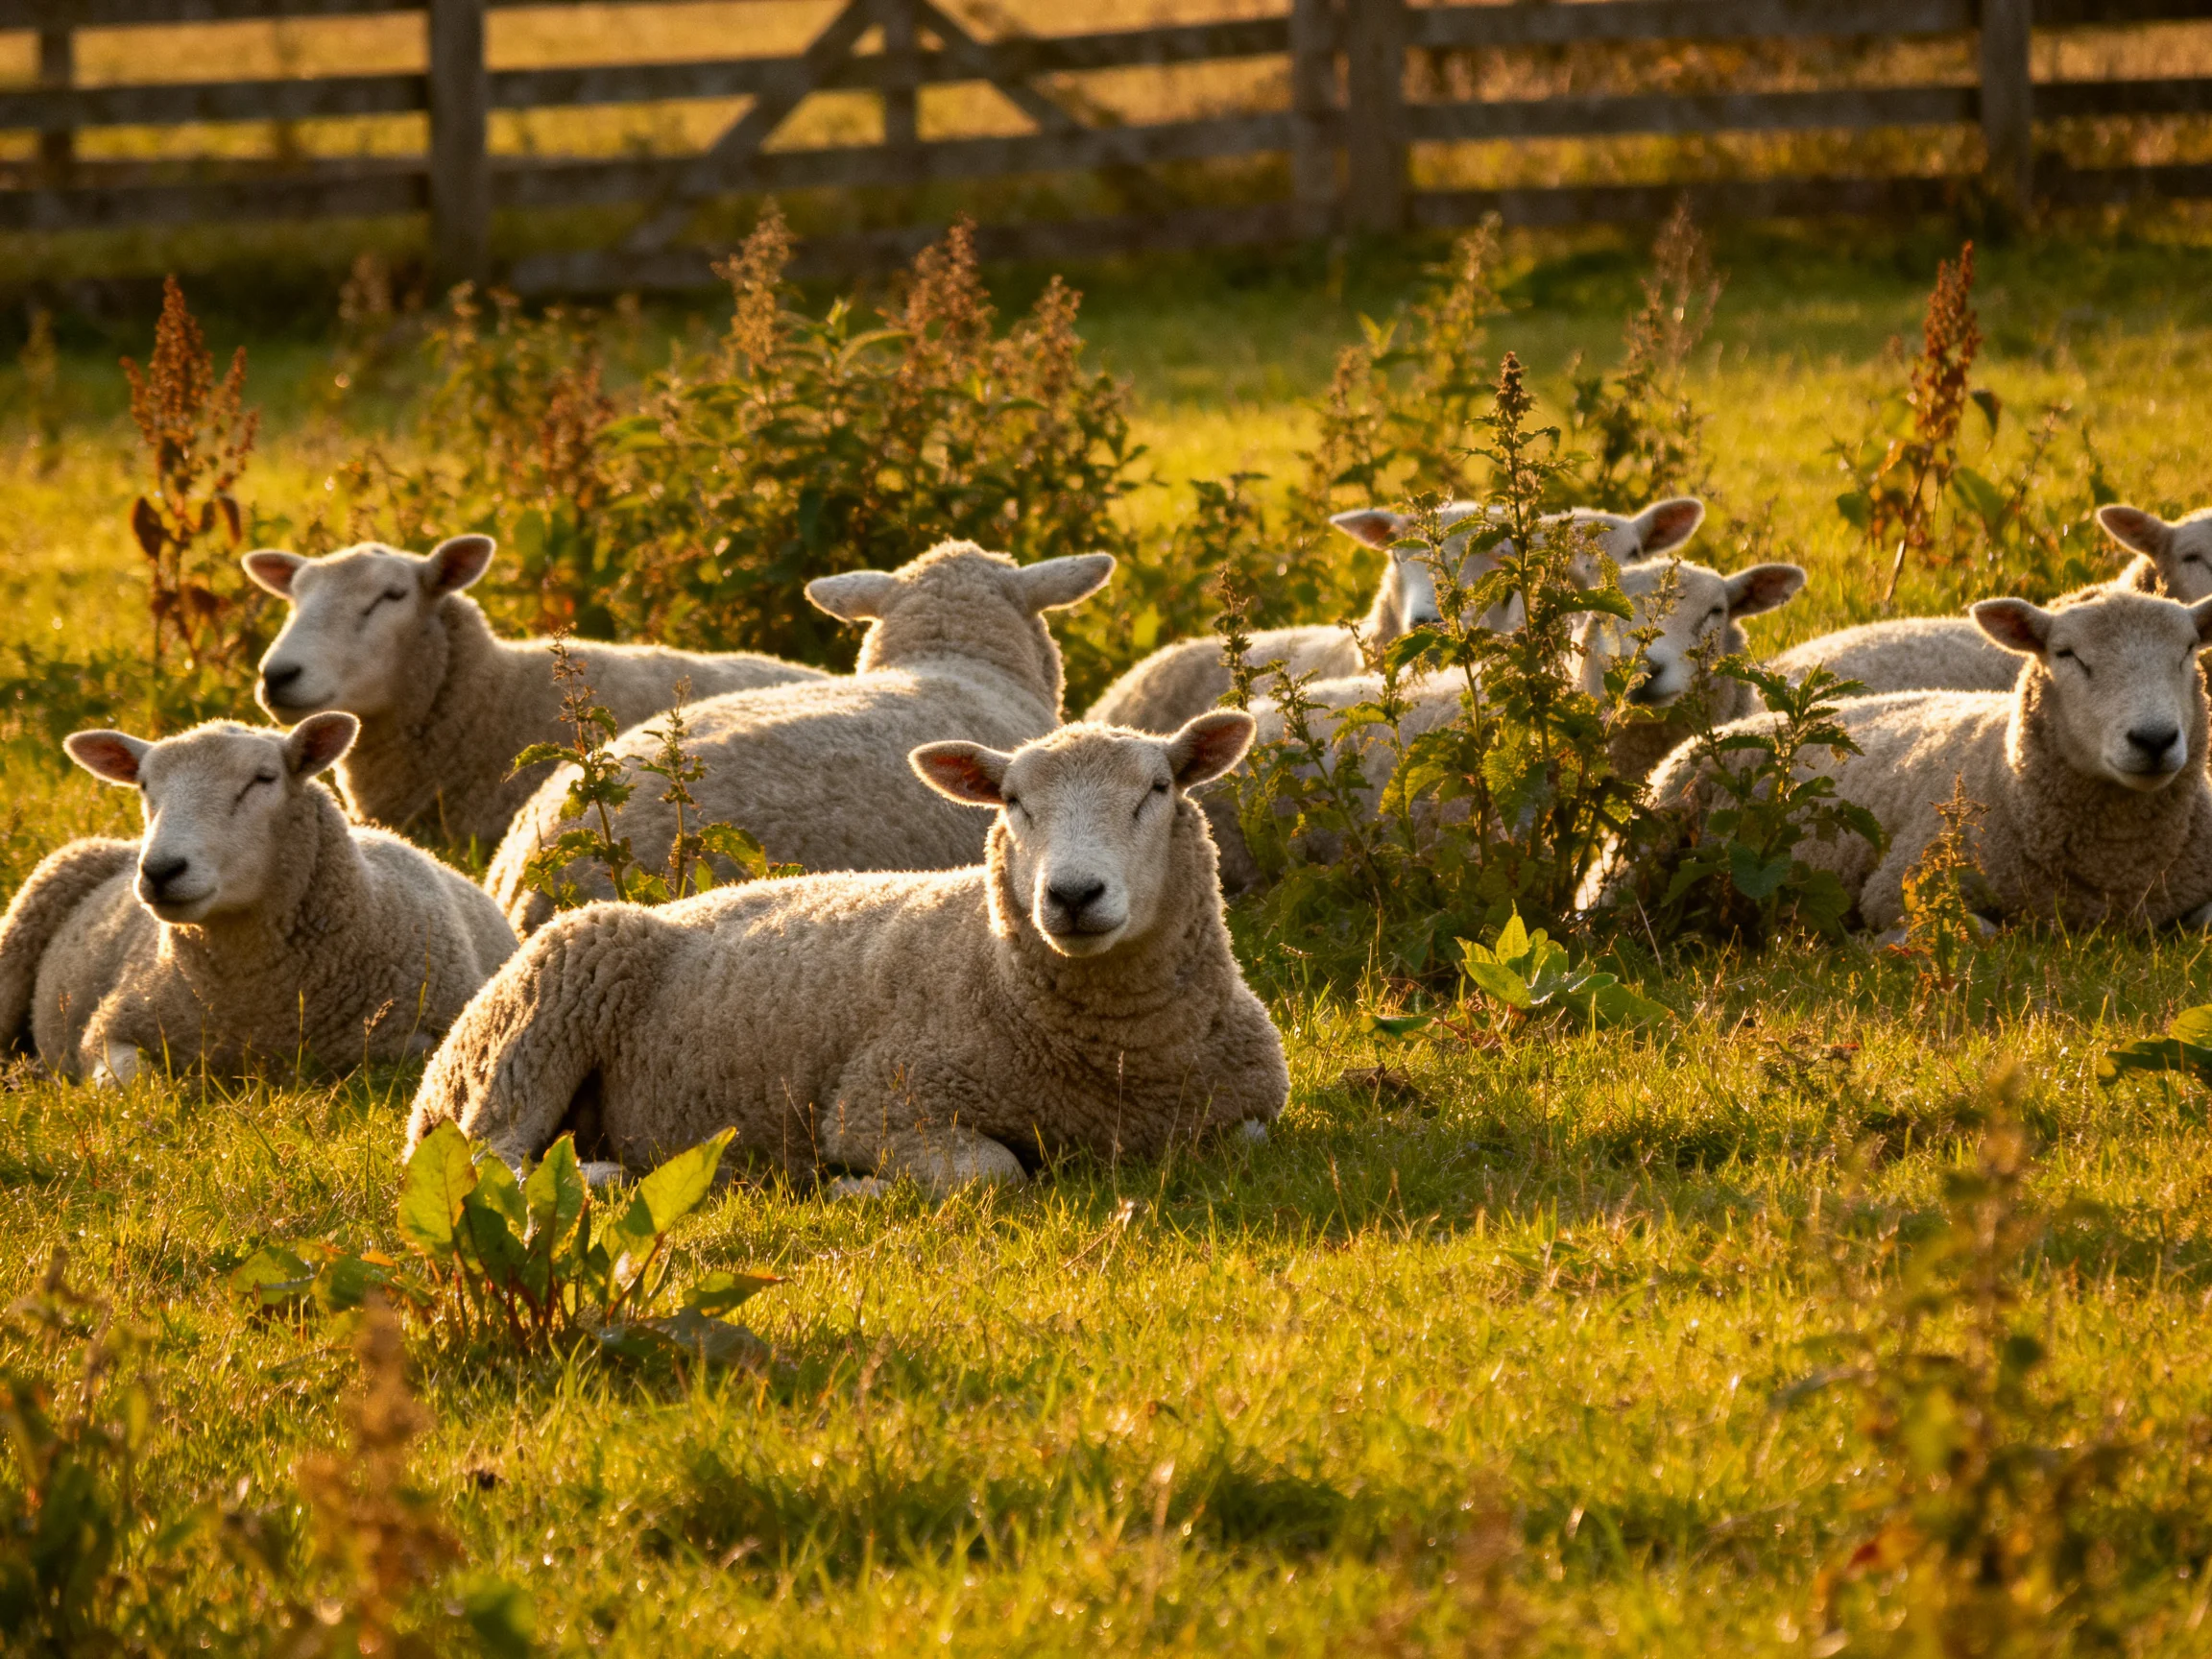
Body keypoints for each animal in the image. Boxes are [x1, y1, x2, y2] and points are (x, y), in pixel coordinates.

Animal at [0, 715, 516, 1084]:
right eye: (145, 786)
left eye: (264, 778)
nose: (161, 870)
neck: (257, 1013)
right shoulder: (110, 1026)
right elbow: (135, 1084)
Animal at [407, 714, 1287, 1197]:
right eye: (1012, 802)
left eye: (1157, 790)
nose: (1071, 895)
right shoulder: (883, 1100)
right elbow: (990, 1176)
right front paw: (854, 1190)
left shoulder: (1249, 1112)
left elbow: (1248, 1141)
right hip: (532, 1026)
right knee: (488, 1158)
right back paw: (602, 1177)